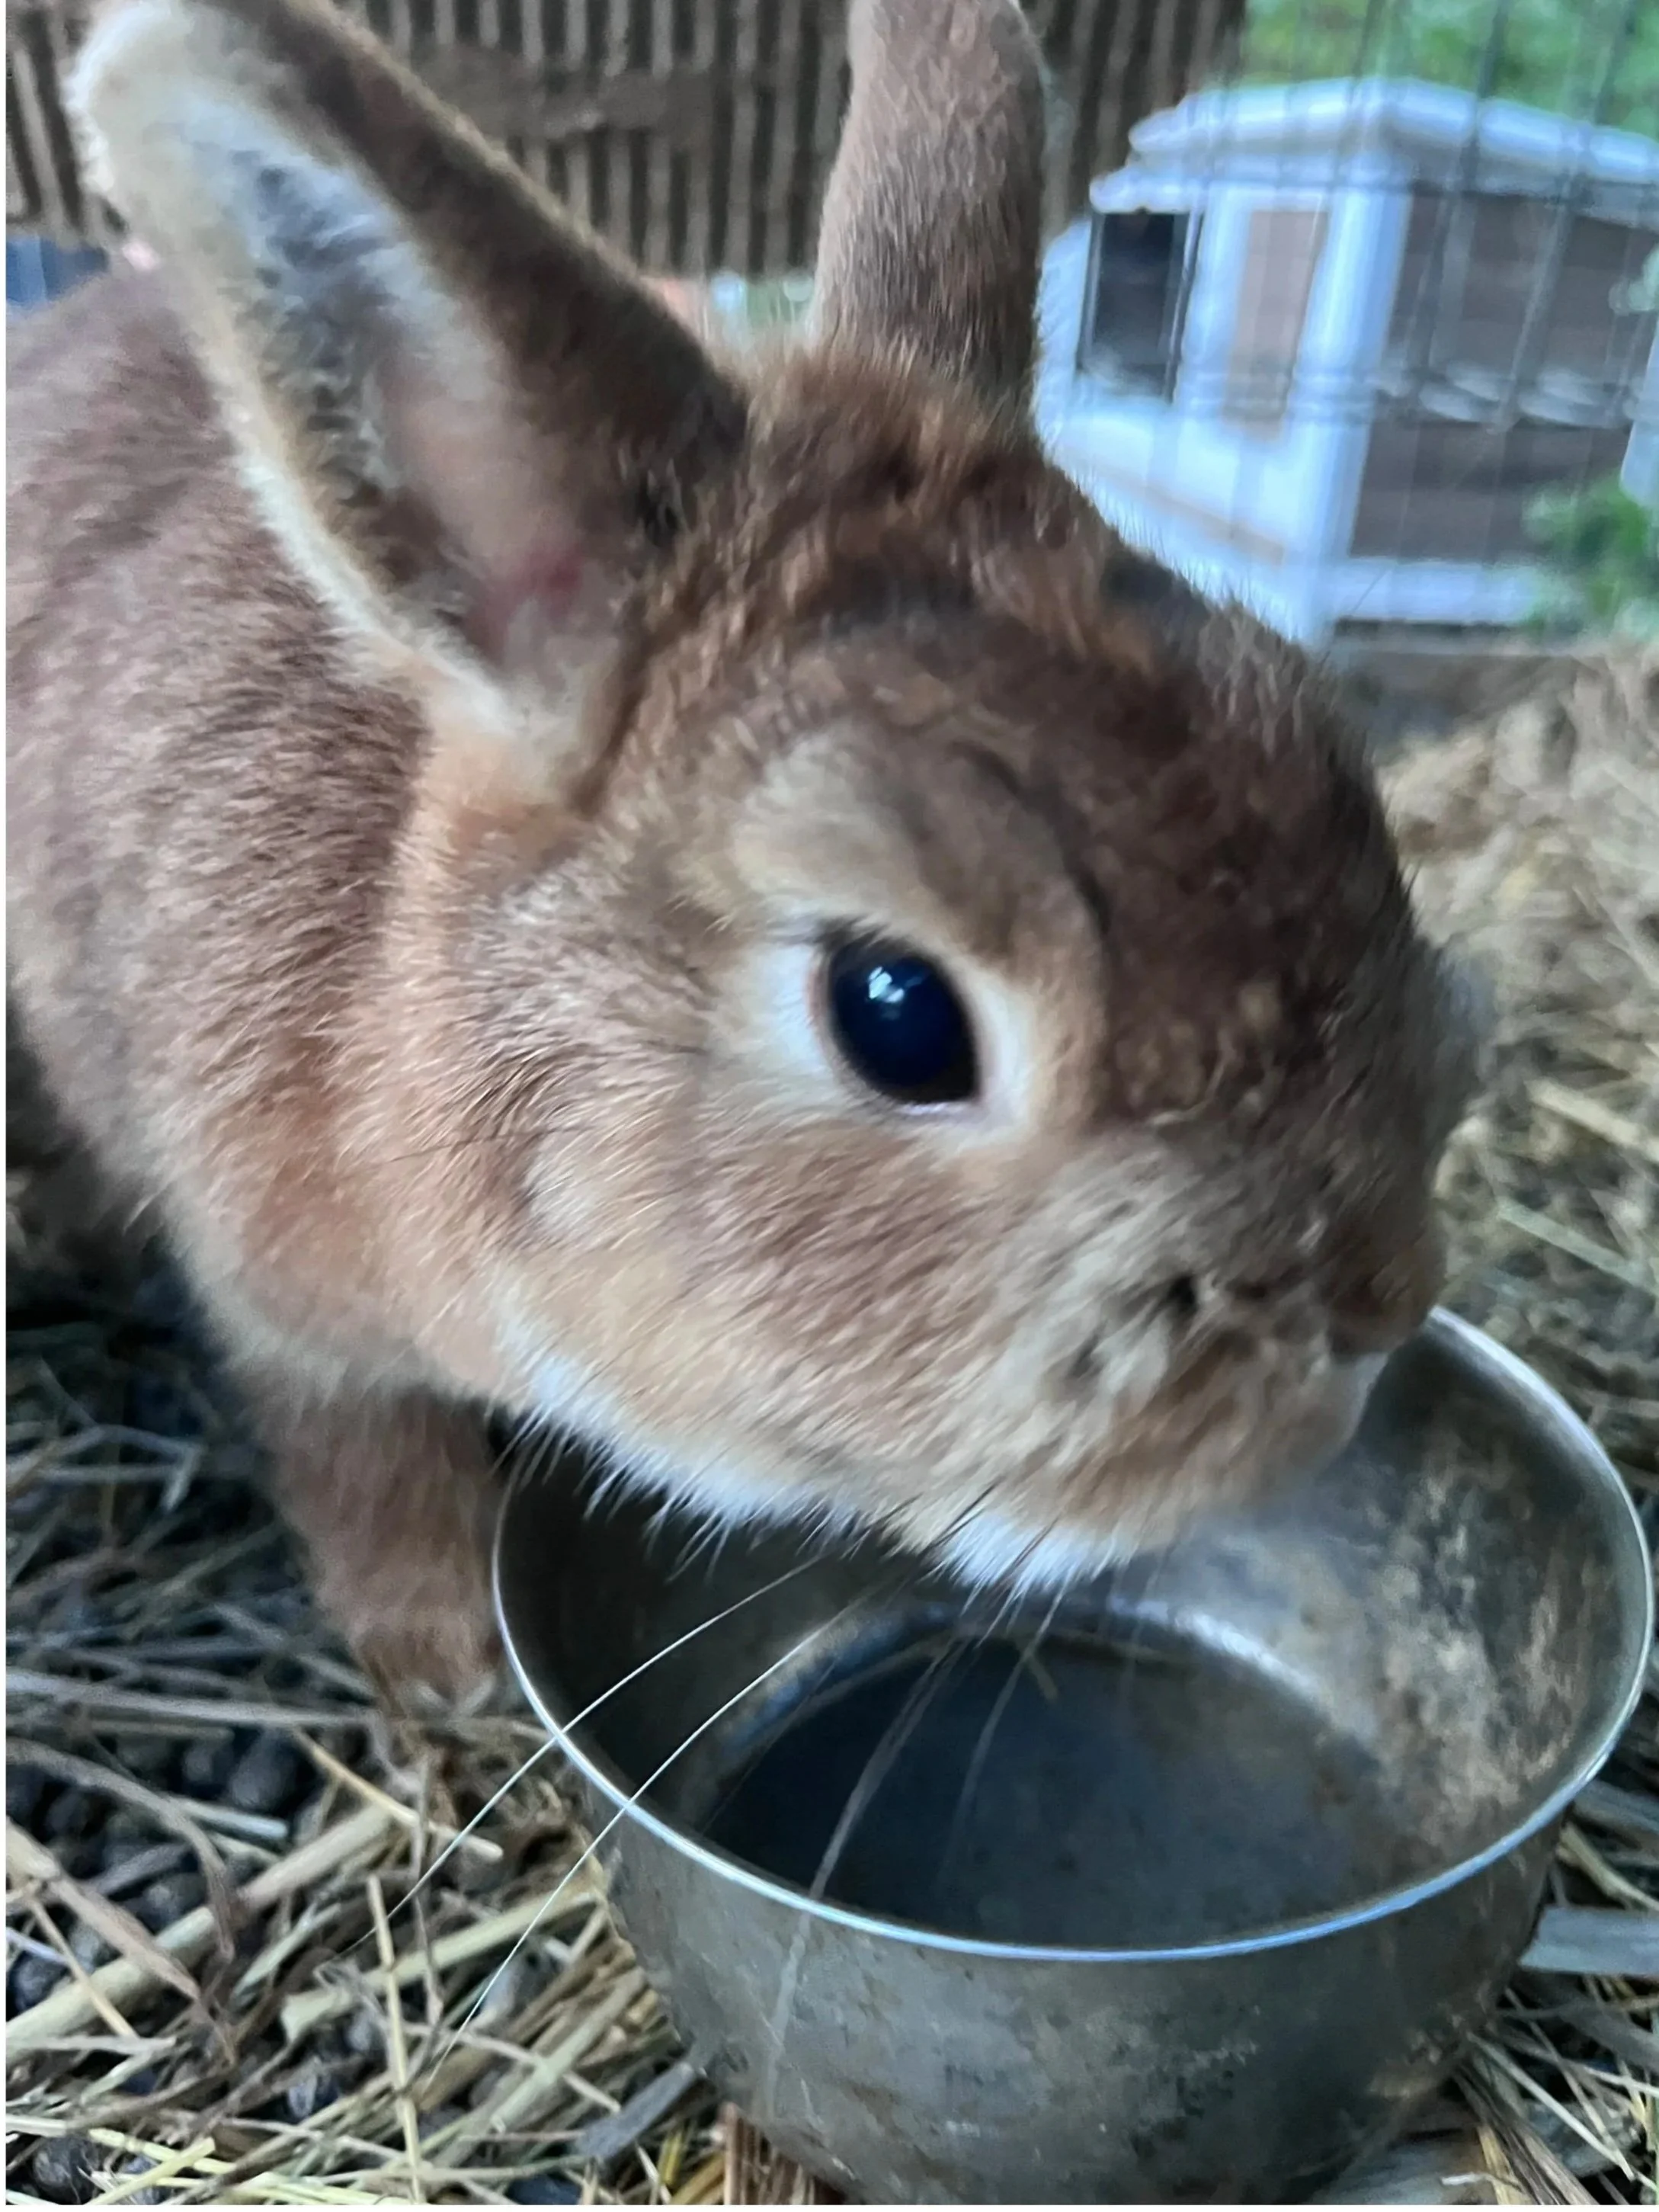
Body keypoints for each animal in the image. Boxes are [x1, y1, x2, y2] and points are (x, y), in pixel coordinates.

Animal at [7, 0, 1476, 1709]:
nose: (1378, 1300)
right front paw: (446, 1656)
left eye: (1308, 734)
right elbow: (356, 1444)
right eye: (896, 1014)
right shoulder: (283, 1308)